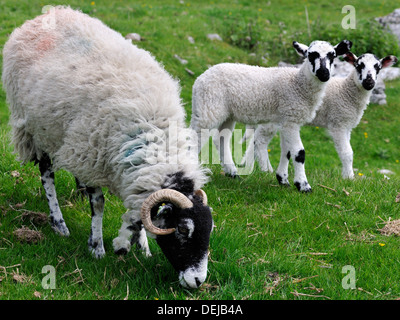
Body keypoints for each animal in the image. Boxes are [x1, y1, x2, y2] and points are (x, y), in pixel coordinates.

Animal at [2, 6, 212, 288]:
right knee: (46, 173)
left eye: (209, 230)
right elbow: (99, 204)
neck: (154, 134)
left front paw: (142, 248)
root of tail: (48, 14)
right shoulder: (91, 154)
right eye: (181, 229)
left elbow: (140, 210)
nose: (198, 281)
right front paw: (98, 247)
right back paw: (59, 222)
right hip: (37, 128)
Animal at [189, 39, 352, 191]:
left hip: (227, 114)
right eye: (311, 55)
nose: (324, 74)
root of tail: (200, 78)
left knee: (221, 138)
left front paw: (283, 180)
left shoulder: (287, 119)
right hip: (208, 108)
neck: (297, 84)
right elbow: (299, 153)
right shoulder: (291, 119)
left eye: (332, 56)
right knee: (195, 138)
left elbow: (287, 152)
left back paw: (232, 173)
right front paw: (303, 186)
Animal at [244, 51, 396, 179]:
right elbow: (347, 152)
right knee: (260, 141)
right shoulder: (338, 122)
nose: (369, 82)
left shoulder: (347, 125)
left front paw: (347, 175)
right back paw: (266, 170)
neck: (346, 91)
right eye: (359, 66)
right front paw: (349, 178)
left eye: (378, 68)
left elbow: (348, 151)